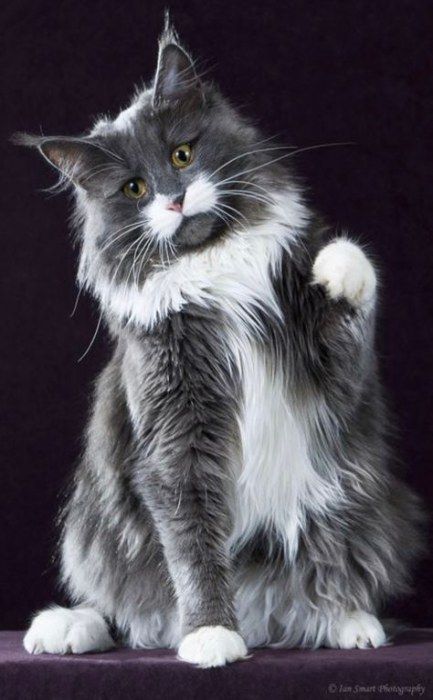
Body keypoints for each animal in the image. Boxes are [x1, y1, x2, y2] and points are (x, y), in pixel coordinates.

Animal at [16, 20, 422, 668]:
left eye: (182, 155)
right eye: (134, 188)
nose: (175, 198)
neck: (217, 274)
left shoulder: (338, 375)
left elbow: (349, 278)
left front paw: (334, 269)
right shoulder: (173, 435)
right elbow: (193, 547)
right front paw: (210, 634)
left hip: (369, 516)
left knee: (329, 580)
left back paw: (348, 623)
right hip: (90, 532)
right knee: (120, 613)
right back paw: (67, 629)